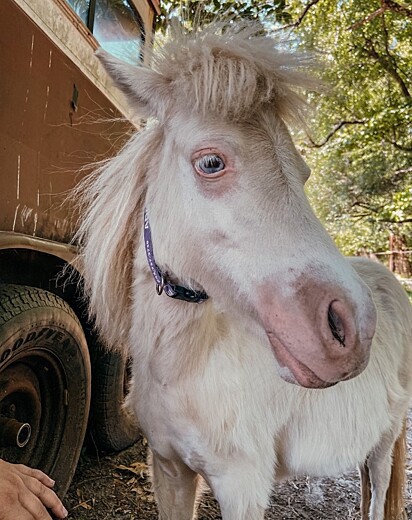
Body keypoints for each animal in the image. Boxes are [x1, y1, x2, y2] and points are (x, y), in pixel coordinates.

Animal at [76, 23, 408, 520]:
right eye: (211, 162)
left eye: (304, 173)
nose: (352, 328)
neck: (188, 369)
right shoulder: (168, 469)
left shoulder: (242, 486)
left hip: (387, 439)